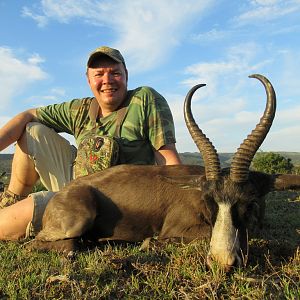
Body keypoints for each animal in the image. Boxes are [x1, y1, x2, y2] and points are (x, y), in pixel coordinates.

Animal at [29, 74, 300, 270]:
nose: (222, 262)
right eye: (208, 200)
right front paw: (149, 243)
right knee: (43, 244)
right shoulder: (177, 229)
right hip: (77, 221)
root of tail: (62, 193)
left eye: (250, 202)